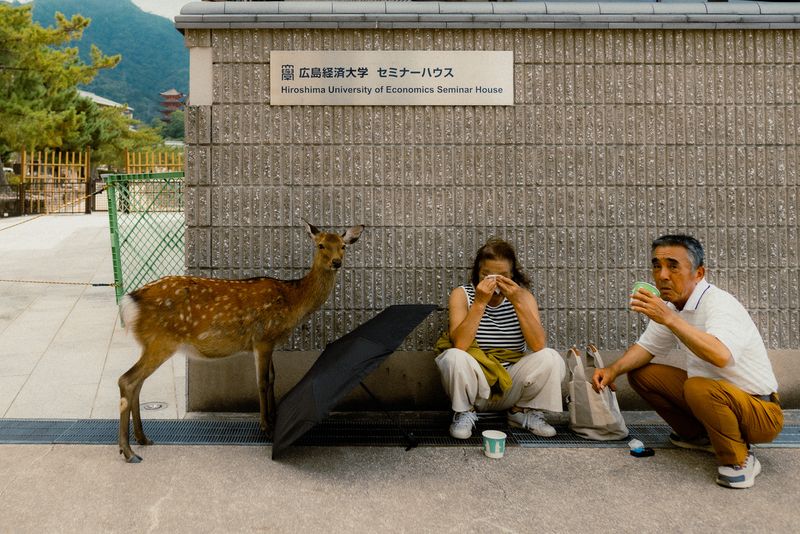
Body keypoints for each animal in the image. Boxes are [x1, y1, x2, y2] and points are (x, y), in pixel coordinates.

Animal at [117, 221, 364, 462]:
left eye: (343, 245)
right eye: (321, 245)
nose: (336, 262)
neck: (293, 299)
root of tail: (129, 301)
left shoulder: (270, 342)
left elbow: (273, 378)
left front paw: (274, 418)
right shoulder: (263, 338)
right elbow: (262, 381)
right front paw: (266, 427)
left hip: (151, 343)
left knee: (137, 383)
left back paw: (142, 438)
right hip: (162, 341)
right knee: (127, 380)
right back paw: (128, 451)